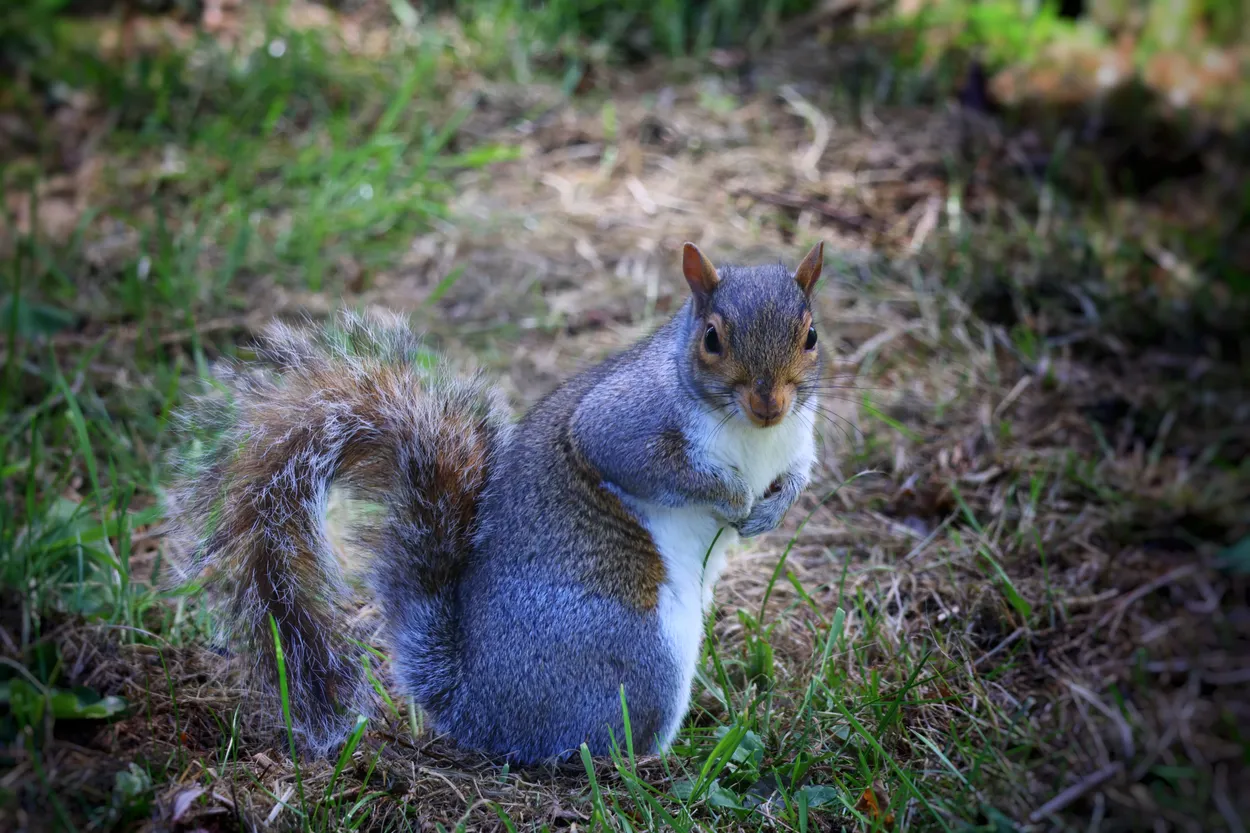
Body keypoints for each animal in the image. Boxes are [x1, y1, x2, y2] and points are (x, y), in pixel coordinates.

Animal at [164, 241, 826, 764]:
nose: (768, 402)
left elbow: (797, 473)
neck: (753, 434)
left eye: (812, 335)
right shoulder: (626, 421)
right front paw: (733, 498)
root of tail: (479, 707)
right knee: (595, 742)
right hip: (636, 651)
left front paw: (772, 508)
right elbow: (643, 462)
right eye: (712, 339)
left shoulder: (798, 437)